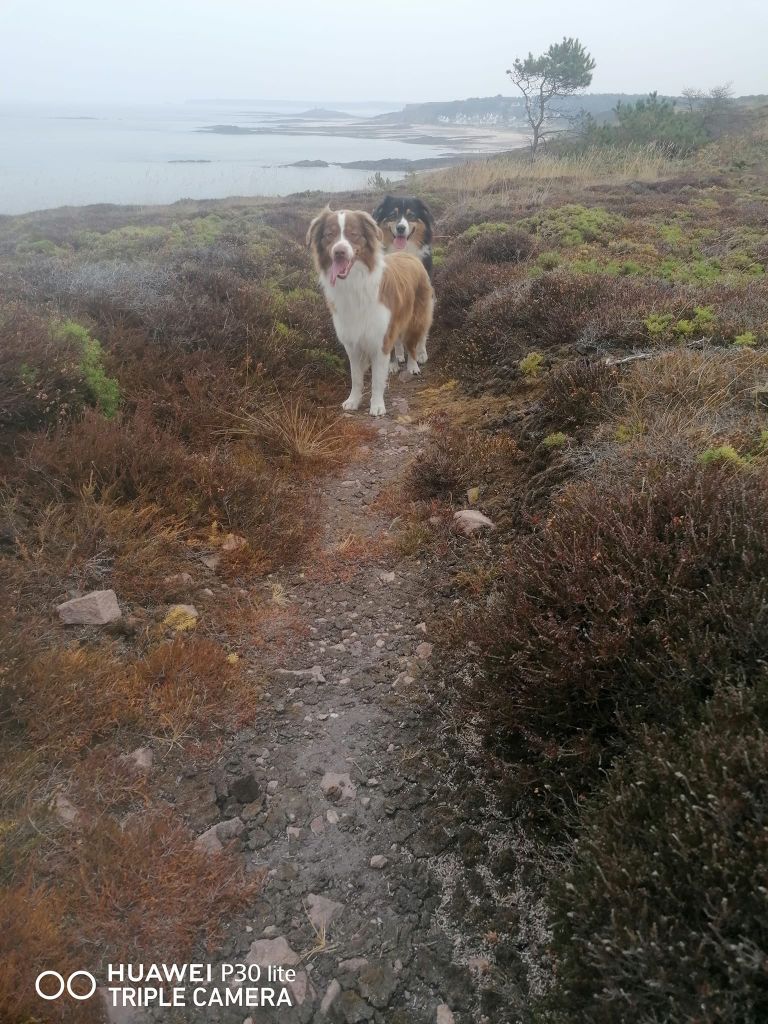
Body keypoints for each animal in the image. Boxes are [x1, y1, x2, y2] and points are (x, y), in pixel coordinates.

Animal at [309, 205, 436, 413]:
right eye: (329, 235)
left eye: (353, 234)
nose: (339, 252)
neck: (355, 284)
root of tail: (408, 255)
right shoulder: (352, 342)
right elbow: (356, 377)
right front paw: (353, 400)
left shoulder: (380, 340)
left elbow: (377, 378)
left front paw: (377, 405)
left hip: (416, 317)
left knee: (413, 342)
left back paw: (413, 365)